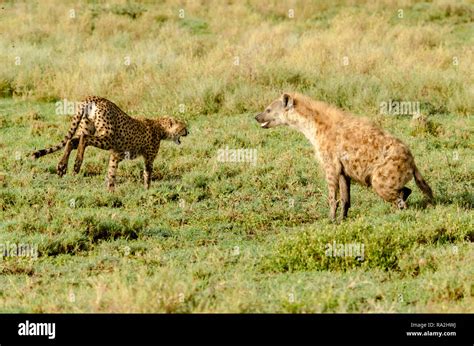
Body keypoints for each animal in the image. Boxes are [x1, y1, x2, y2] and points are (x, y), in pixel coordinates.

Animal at [29, 96, 189, 191]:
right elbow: (147, 174)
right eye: (183, 127)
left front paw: (110, 191)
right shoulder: (148, 158)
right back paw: (77, 164)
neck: (160, 127)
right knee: (84, 139)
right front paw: (147, 190)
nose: (188, 132)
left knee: (72, 141)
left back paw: (62, 167)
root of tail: (95, 97)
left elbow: (111, 171)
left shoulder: (116, 154)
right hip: (107, 137)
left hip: (87, 126)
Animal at [256, 92, 434, 222]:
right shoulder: (343, 170)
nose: (256, 117)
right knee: (406, 190)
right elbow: (345, 198)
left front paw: (330, 220)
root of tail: (412, 159)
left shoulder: (331, 166)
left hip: (380, 177)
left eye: (268, 110)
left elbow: (332, 197)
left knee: (399, 196)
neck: (312, 126)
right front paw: (343, 219)